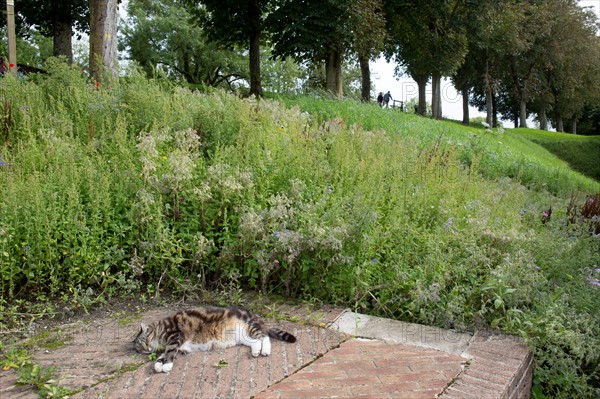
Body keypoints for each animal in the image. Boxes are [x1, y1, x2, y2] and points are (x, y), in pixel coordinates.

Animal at [134, 306, 298, 376]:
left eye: (143, 342)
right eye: (139, 349)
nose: (145, 350)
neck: (160, 329)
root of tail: (256, 316)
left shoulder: (175, 337)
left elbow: (169, 353)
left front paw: (166, 365)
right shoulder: (179, 346)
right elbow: (165, 354)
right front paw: (158, 363)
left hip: (250, 326)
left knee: (265, 337)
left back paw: (265, 351)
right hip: (242, 337)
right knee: (256, 342)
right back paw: (257, 351)